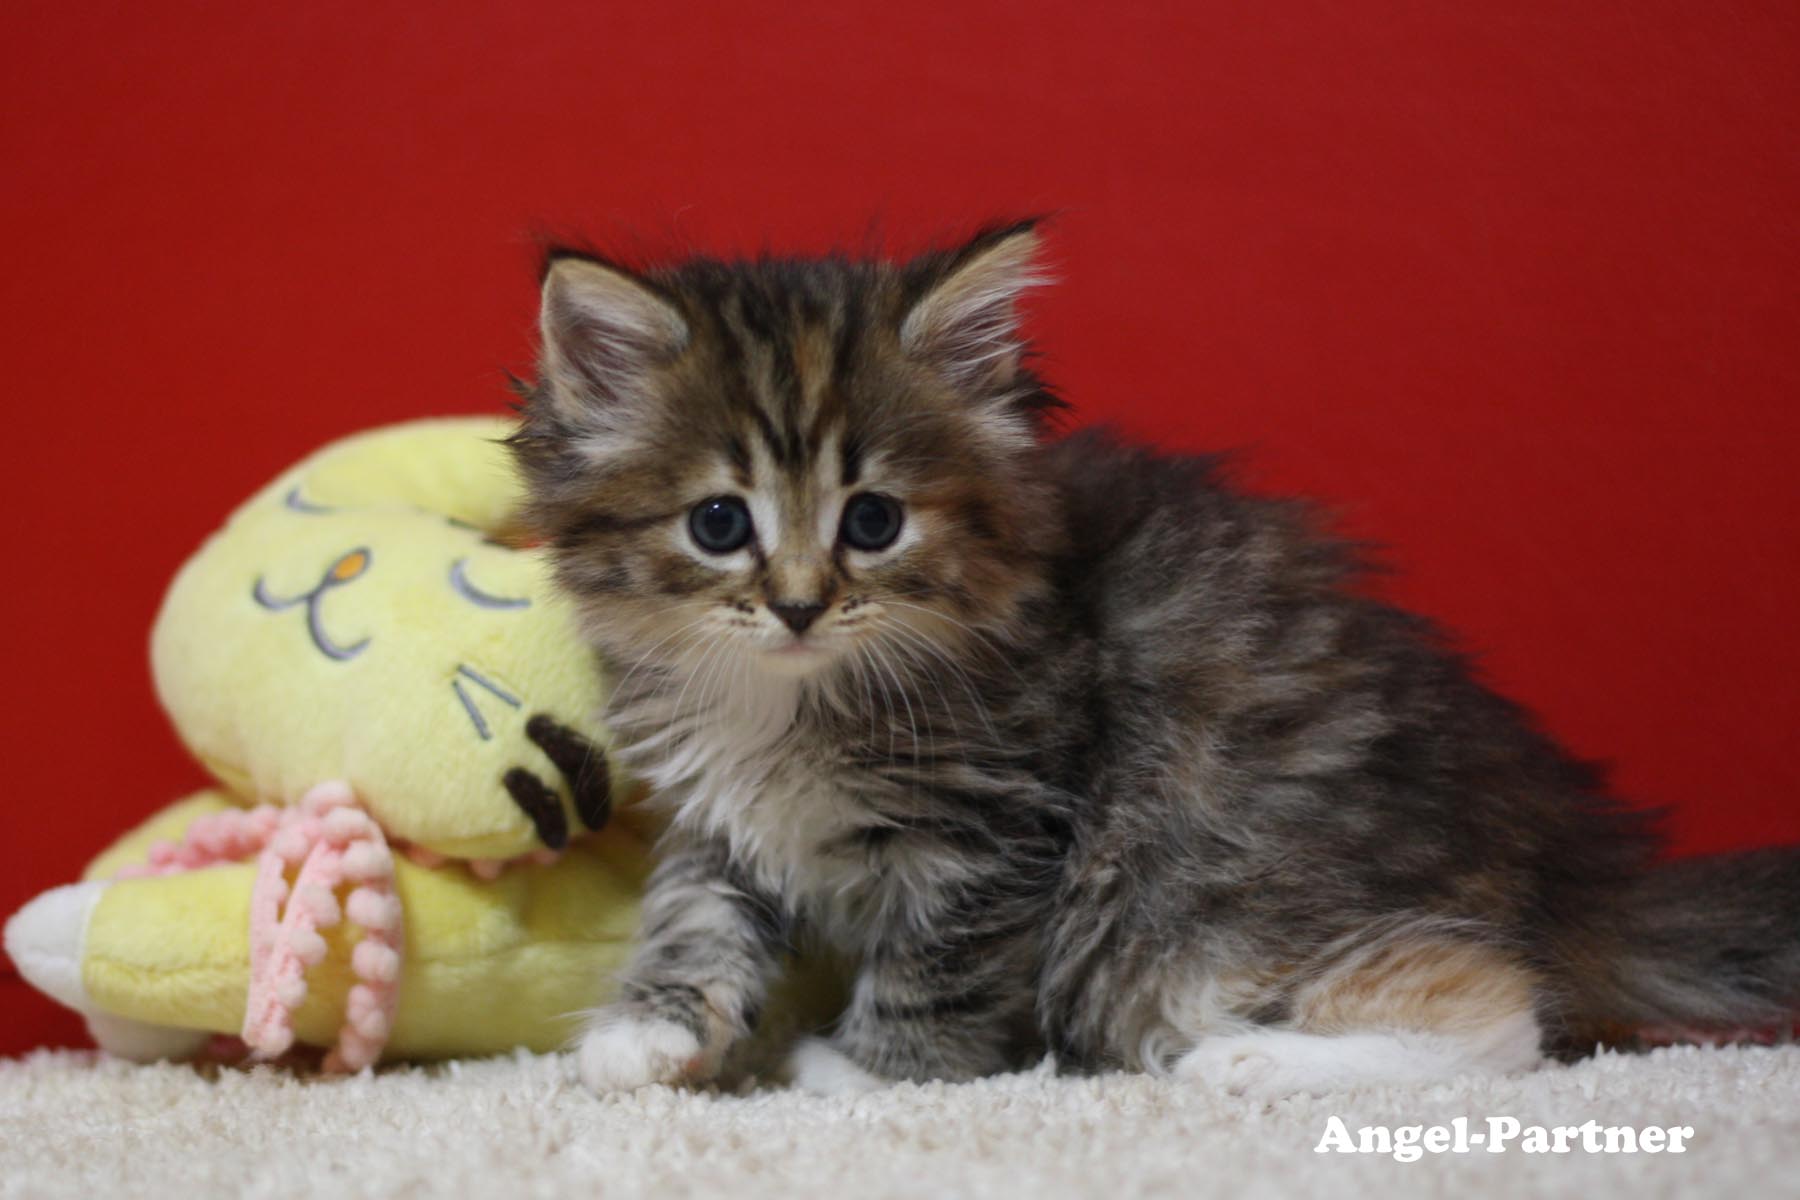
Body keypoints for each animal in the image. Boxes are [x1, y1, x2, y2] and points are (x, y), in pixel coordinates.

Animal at [507, 223, 1800, 1101]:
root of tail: (1568, 864)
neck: (783, 697)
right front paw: (651, 1033)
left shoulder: (993, 830)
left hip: (1188, 907)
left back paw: (1251, 1066)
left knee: (1500, 1016)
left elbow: (936, 964)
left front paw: (867, 1072)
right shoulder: (714, 817)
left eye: (872, 521)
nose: (796, 605)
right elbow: (693, 918)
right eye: (719, 524)